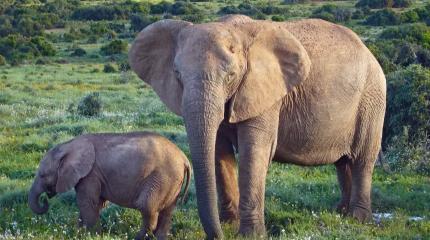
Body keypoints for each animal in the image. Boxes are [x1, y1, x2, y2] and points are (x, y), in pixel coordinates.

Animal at [29, 132, 191, 239]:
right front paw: (78, 232)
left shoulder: (90, 174)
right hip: (172, 181)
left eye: (43, 175)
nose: (45, 199)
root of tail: (184, 158)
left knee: (146, 206)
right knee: (167, 211)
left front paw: (90, 235)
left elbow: (87, 202)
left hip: (163, 177)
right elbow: (97, 203)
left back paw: (137, 237)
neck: (68, 145)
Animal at [127, 15, 386, 240]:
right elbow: (219, 152)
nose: (218, 236)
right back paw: (341, 213)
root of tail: (368, 51)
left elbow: (254, 151)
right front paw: (229, 225)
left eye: (231, 76)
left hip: (372, 98)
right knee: (343, 163)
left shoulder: (265, 92)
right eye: (178, 75)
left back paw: (358, 219)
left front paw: (250, 235)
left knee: (362, 159)